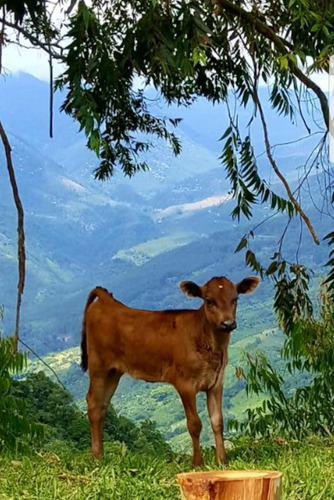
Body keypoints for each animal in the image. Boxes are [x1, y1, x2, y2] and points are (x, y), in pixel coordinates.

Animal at [81, 276, 260, 466]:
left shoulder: (216, 382)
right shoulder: (184, 383)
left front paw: (223, 462)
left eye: (235, 299)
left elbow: (217, 421)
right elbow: (194, 424)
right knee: (93, 404)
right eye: (209, 301)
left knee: (103, 405)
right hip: (98, 366)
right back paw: (96, 457)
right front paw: (198, 463)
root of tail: (107, 301)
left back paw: (101, 455)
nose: (228, 323)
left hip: (113, 372)